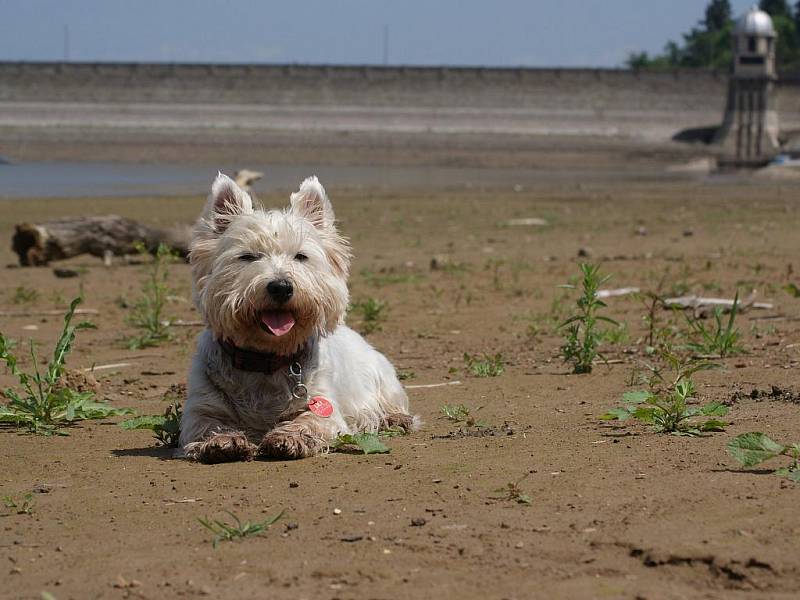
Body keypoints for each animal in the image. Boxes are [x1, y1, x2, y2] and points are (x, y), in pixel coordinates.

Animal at [181, 173, 416, 464]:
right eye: (247, 256)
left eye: (301, 256)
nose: (281, 287)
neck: (266, 359)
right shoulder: (200, 406)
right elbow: (208, 423)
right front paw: (223, 441)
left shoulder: (325, 406)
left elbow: (310, 420)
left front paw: (289, 438)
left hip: (383, 377)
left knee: (391, 402)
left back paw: (395, 419)